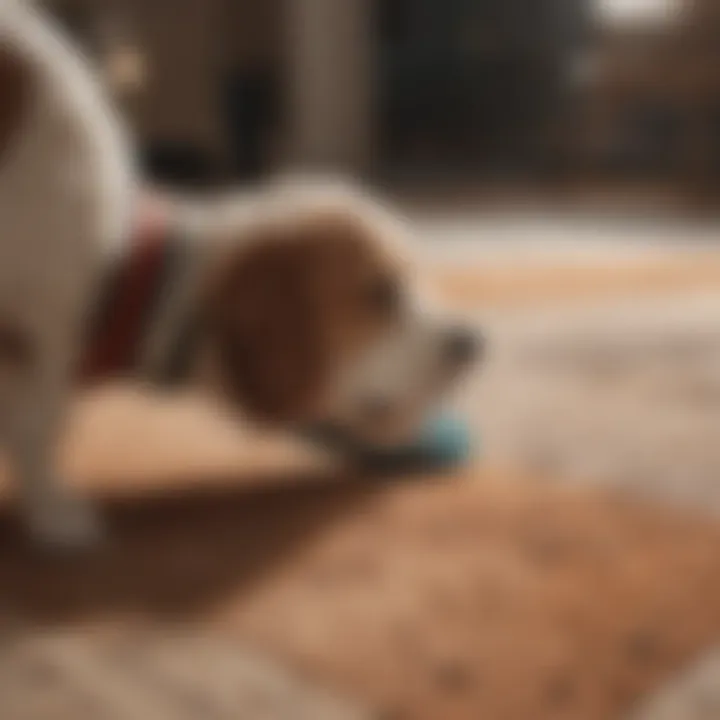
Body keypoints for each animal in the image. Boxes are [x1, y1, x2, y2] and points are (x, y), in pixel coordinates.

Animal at [1, 2, 484, 548]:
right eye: (381, 293)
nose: (473, 342)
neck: (115, 267)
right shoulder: (37, 333)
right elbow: (39, 427)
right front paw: (55, 511)